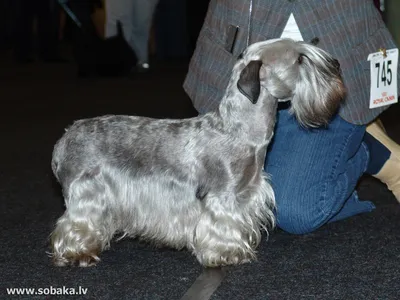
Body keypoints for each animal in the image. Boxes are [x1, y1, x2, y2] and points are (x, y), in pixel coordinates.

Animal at [49, 38, 344, 268]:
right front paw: (228, 254)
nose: (338, 65)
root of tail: (64, 138)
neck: (238, 130)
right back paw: (78, 253)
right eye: (300, 59)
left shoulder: (247, 192)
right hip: (86, 193)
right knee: (73, 223)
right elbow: (222, 227)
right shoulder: (222, 197)